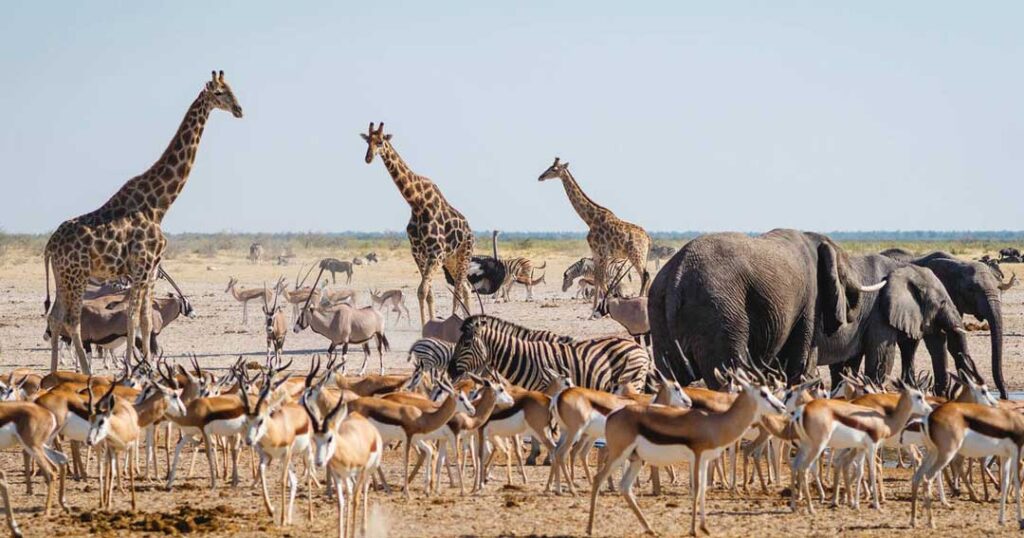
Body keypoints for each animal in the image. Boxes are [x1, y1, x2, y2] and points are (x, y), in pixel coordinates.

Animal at [45, 70, 244, 373]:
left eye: (232, 89)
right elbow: (133, 319)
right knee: (72, 321)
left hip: (62, 276)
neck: (159, 205)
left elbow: (145, 319)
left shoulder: (150, 270)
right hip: (76, 276)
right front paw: (133, 366)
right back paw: (86, 372)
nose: (239, 110)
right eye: (220, 93)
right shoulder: (143, 267)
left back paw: (54, 371)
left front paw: (146, 366)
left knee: (55, 317)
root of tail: (49, 246)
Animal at [362, 121, 473, 325]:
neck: (417, 203)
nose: (368, 157)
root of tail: (470, 230)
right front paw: (427, 324)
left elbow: (423, 290)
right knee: (466, 287)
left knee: (459, 289)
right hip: (451, 260)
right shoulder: (418, 253)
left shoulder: (435, 253)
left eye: (380, 141)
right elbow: (426, 293)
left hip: (464, 254)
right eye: (368, 141)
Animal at [536, 154, 647, 309]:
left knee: (645, 275)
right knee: (647, 276)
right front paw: (594, 307)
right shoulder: (595, 252)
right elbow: (597, 278)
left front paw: (605, 305)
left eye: (554, 169)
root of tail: (648, 238)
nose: (540, 177)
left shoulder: (602, 252)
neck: (590, 219)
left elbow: (601, 280)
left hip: (635, 254)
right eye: (549, 166)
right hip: (641, 255)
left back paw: (641, 300)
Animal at [651, 227, 884, 385]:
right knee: (727, 375)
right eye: (844, 274)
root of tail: (677, 274)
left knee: (671, 379)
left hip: (659, 311)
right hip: (718, 312)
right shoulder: (810, 299)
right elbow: (800, 362)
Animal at [880, 250, 1015, 395]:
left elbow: (954, 340)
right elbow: (940, 339)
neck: (958, 265)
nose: (1003, 396)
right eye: (971, 289)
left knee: (909, 347)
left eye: (999, 289)